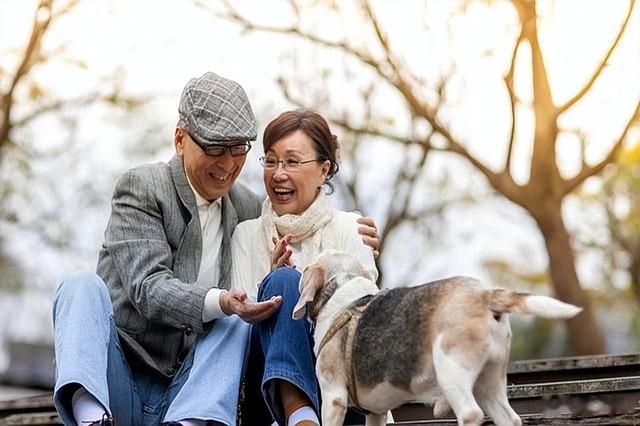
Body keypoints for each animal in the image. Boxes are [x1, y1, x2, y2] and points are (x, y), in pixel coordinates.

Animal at [292, 249, 582, 426]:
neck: (340, 288)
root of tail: (485, 294)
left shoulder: (333, 398)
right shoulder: (376, 411)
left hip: (452, 371)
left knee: (471, 413)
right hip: (490, 383)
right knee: (510, 419)